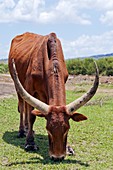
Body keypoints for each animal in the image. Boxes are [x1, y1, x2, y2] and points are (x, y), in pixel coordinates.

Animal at [8, 32, 99, 161]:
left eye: (67, 129)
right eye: (48, 129)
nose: (57, 156)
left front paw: (68, 148)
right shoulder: (29, 89)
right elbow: (31, 116)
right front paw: (30, 143)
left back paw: (26, 129)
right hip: (17, 86)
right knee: (22, 106)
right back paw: (22, 131)